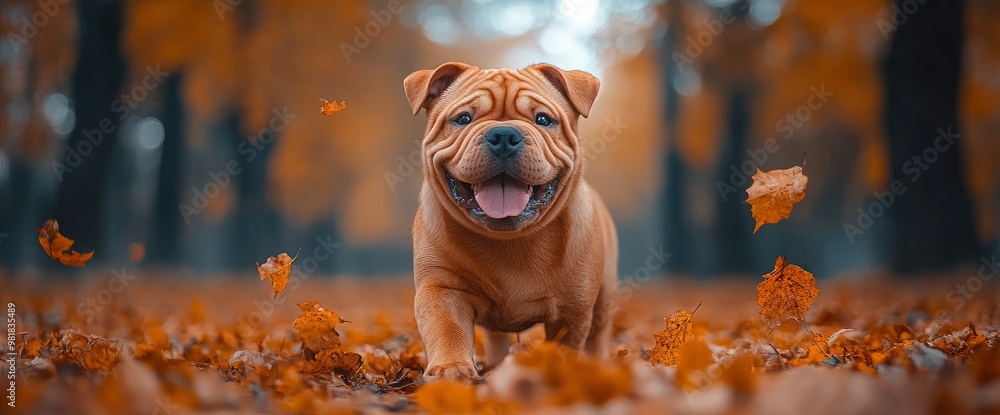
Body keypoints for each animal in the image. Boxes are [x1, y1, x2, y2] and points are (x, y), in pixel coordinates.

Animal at [402, 62, 612, 380]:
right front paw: (451, 369)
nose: (503, 135)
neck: (509, 239)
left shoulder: (571, 309)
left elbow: (565, 344)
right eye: (463, 118)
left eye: (543, 119)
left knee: (598, 335)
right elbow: (446, 328)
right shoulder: (442, 288)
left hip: (604, 297)